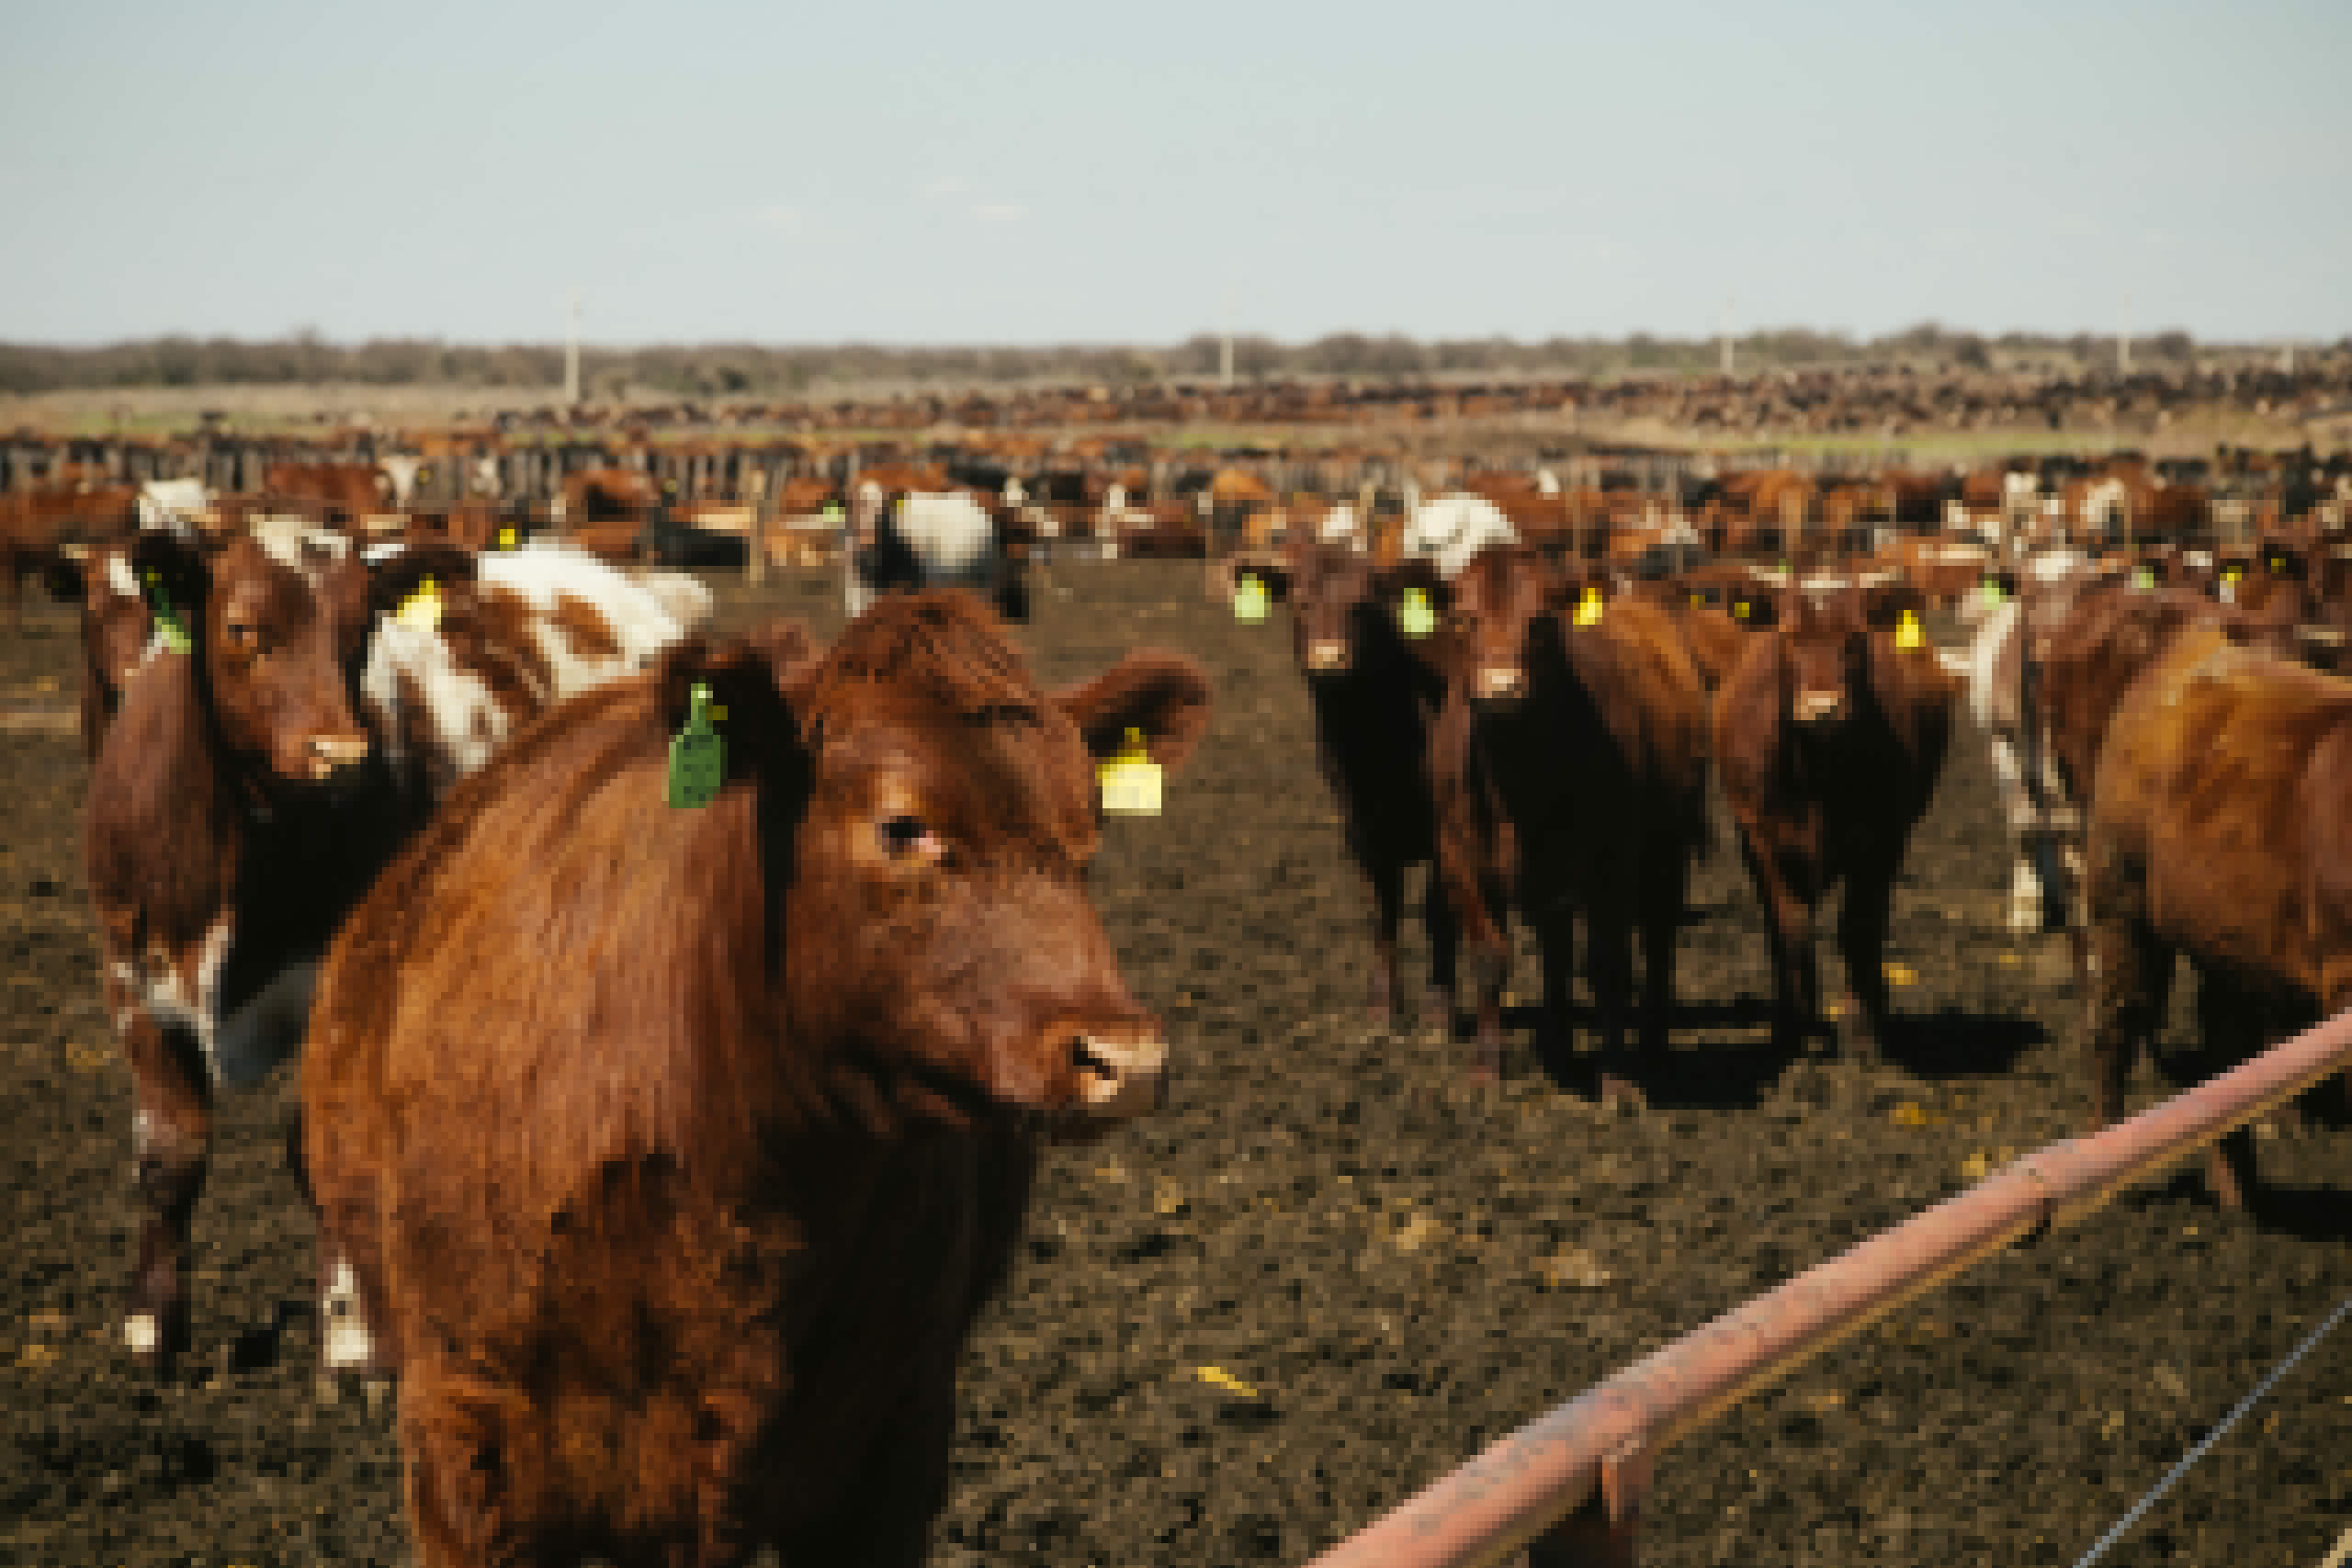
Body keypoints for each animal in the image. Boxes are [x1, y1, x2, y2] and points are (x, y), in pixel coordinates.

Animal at [84, 528, 698, 1368]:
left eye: (361, 631)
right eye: (243, 628)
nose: (339, 753)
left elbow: (321, 1147)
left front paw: (351, 1340)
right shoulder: (132, 980)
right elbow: (168, 1154)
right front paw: (150, 1328)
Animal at [1423, 544, 1710, 1090]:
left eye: (1538, 620)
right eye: (1464, 618)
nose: (1501, 690)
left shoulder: (1611, 863)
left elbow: (1608, 965)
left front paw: (1618, 1081)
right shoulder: (1457, 857)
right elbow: (1490, 959)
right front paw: (1485, 1074)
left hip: (1666, 845)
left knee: (1658, 938)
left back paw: (1654, 1048)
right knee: (1555, 947)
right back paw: (1559, 1047)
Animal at [1714, 576, 1956, 1060]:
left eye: (1855, 640)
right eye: (1789, 638)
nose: (1822, 707)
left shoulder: (1883, 839)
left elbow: (1859, 927)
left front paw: (1863, 1032)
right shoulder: (1767, 839)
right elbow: (1791, 929)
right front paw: (1799, 1031)